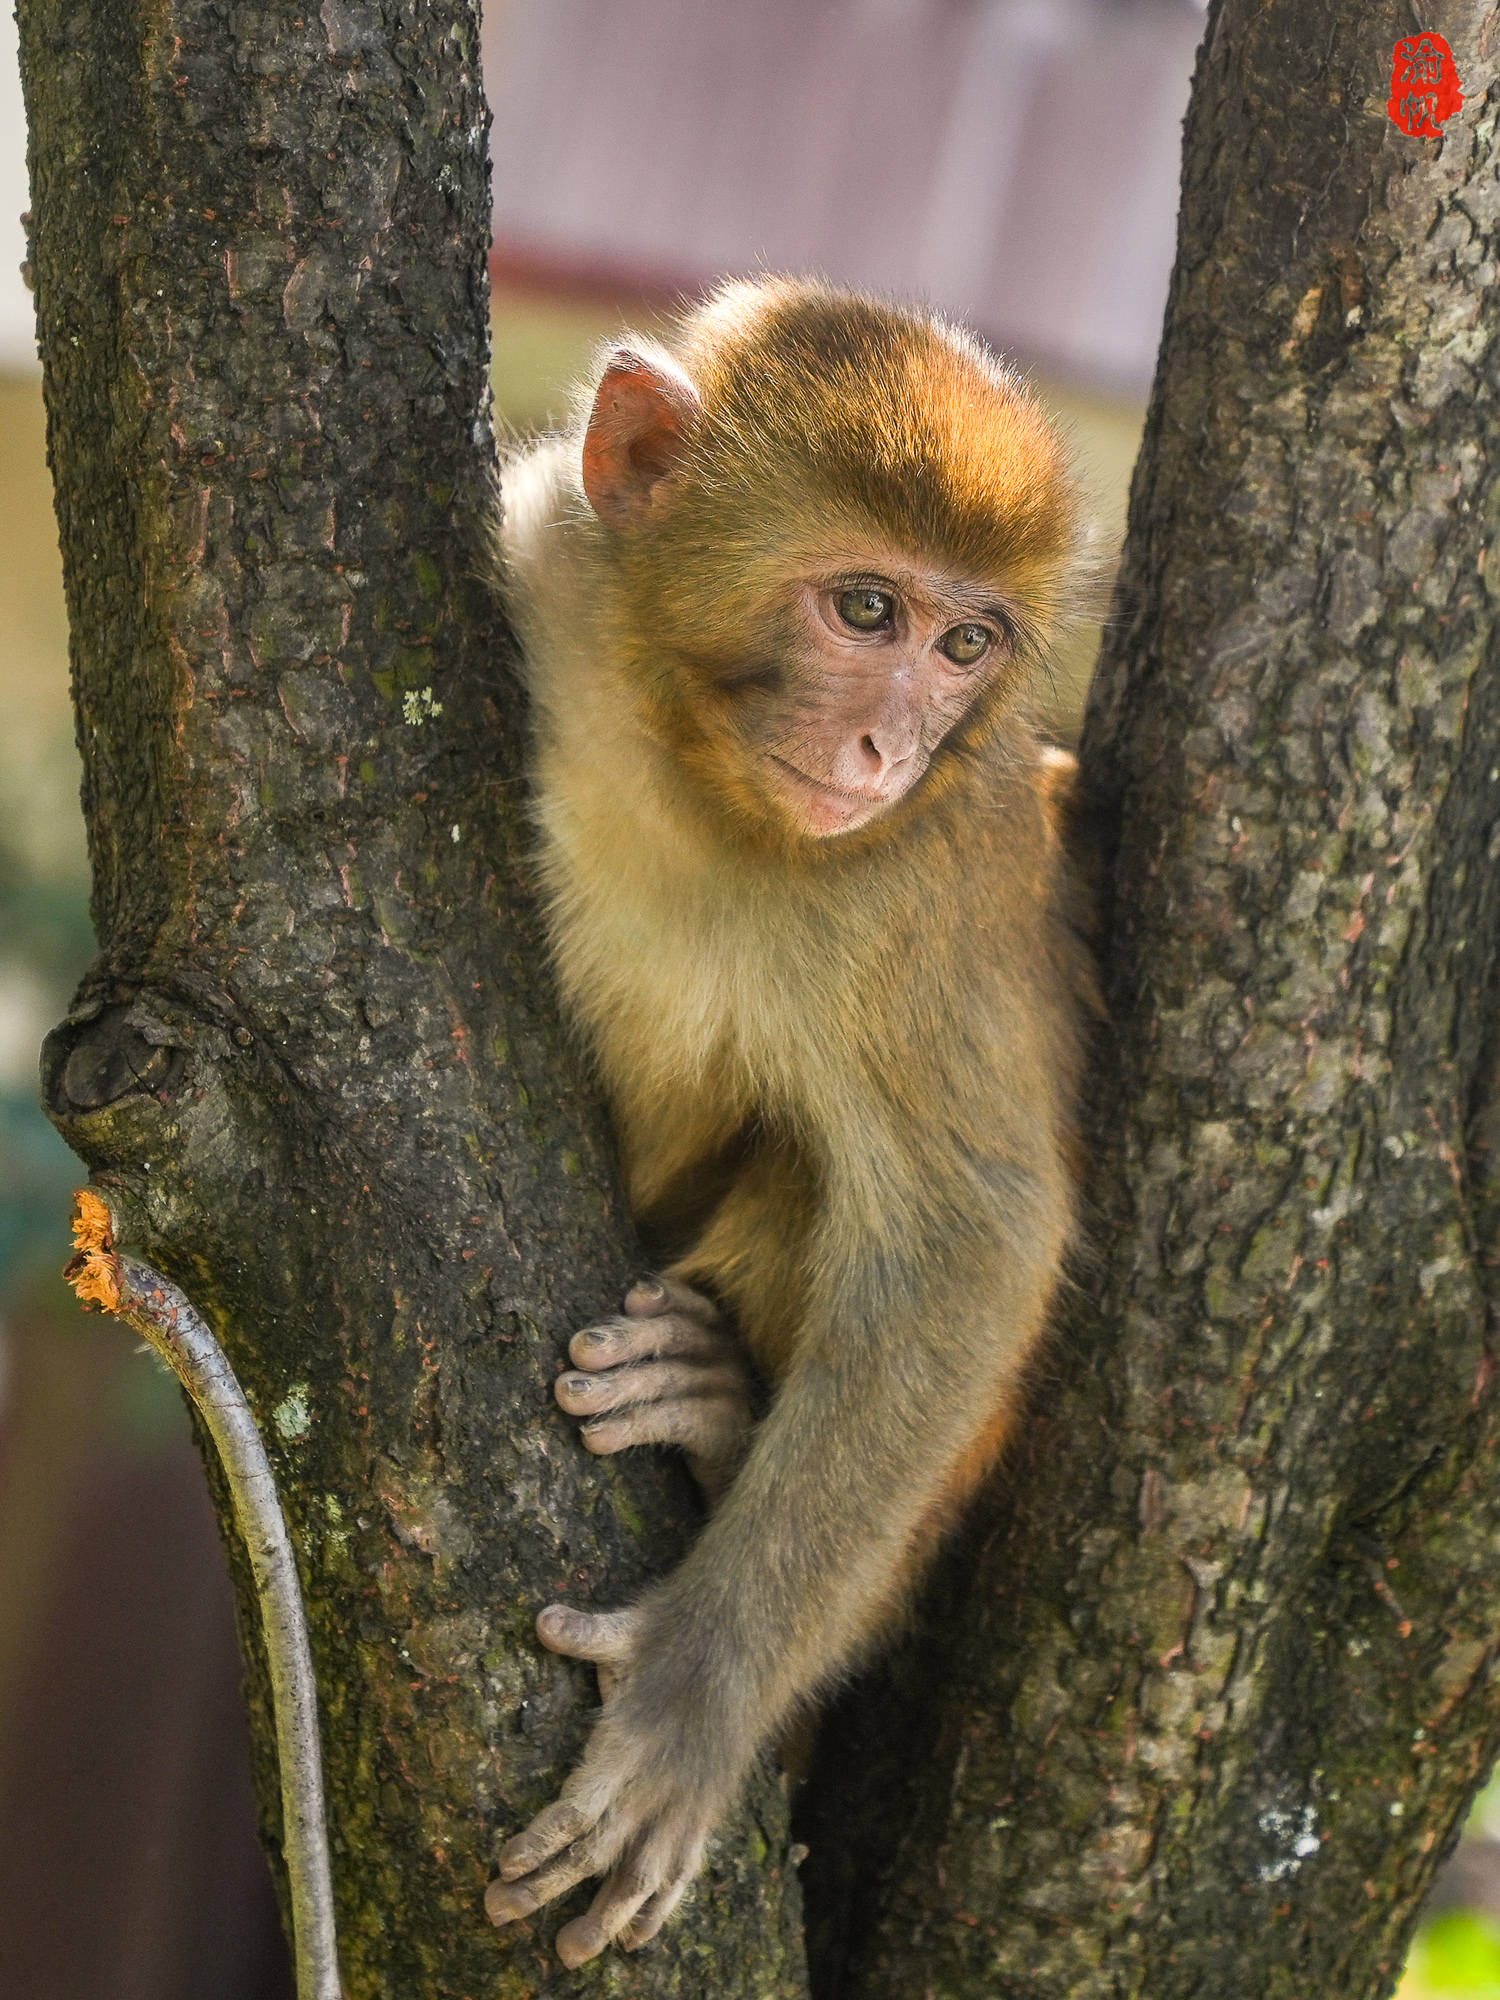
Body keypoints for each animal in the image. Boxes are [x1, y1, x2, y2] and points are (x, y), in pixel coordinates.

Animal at [490, 278, 1096, 1968]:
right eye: (867, 613)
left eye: (966, 644)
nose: (890, 747)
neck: (688, 775)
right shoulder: (543, 561)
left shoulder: (931, 875)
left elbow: (973, 1233)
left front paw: (698, 1694)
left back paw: (708, 1418)